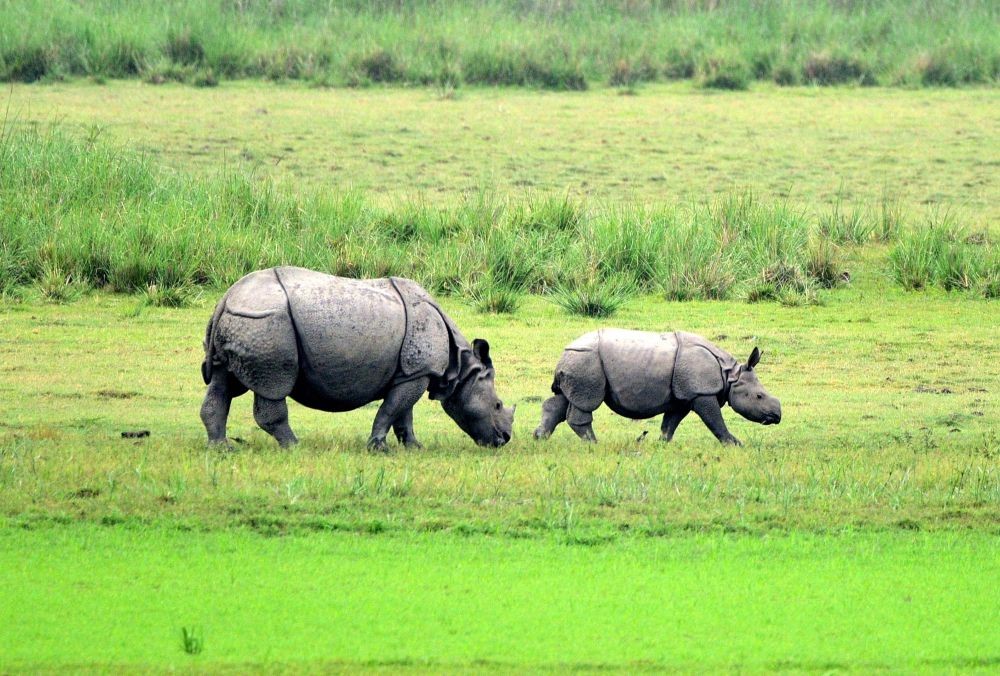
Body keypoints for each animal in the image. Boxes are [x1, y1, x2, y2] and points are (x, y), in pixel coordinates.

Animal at [200, 266, 514, 449]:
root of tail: (227, 298)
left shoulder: (411, 372)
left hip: (244, 321)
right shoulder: (418, 371)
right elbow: (391, 410)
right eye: (498, 405)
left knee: (222, 382)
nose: (505, 440)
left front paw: (414, 448)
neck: (460, 368)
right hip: (265, 322)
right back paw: (294, 446)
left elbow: (404, 414)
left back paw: (222, 448)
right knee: (273, 385)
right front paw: (378, 448)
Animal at [533, 329, 781, 445]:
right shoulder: (701, 392)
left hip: (579, 362)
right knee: (585, 403)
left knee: (565, 398)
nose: (777, 416)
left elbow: (670, 423)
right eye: (759, 396)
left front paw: (662, 444)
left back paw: (539, 437)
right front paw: (735, 444)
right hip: (587, 361)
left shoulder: (682, 397)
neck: (729, 375)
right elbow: (714, 420)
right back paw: (594, 444)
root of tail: (564, 352)